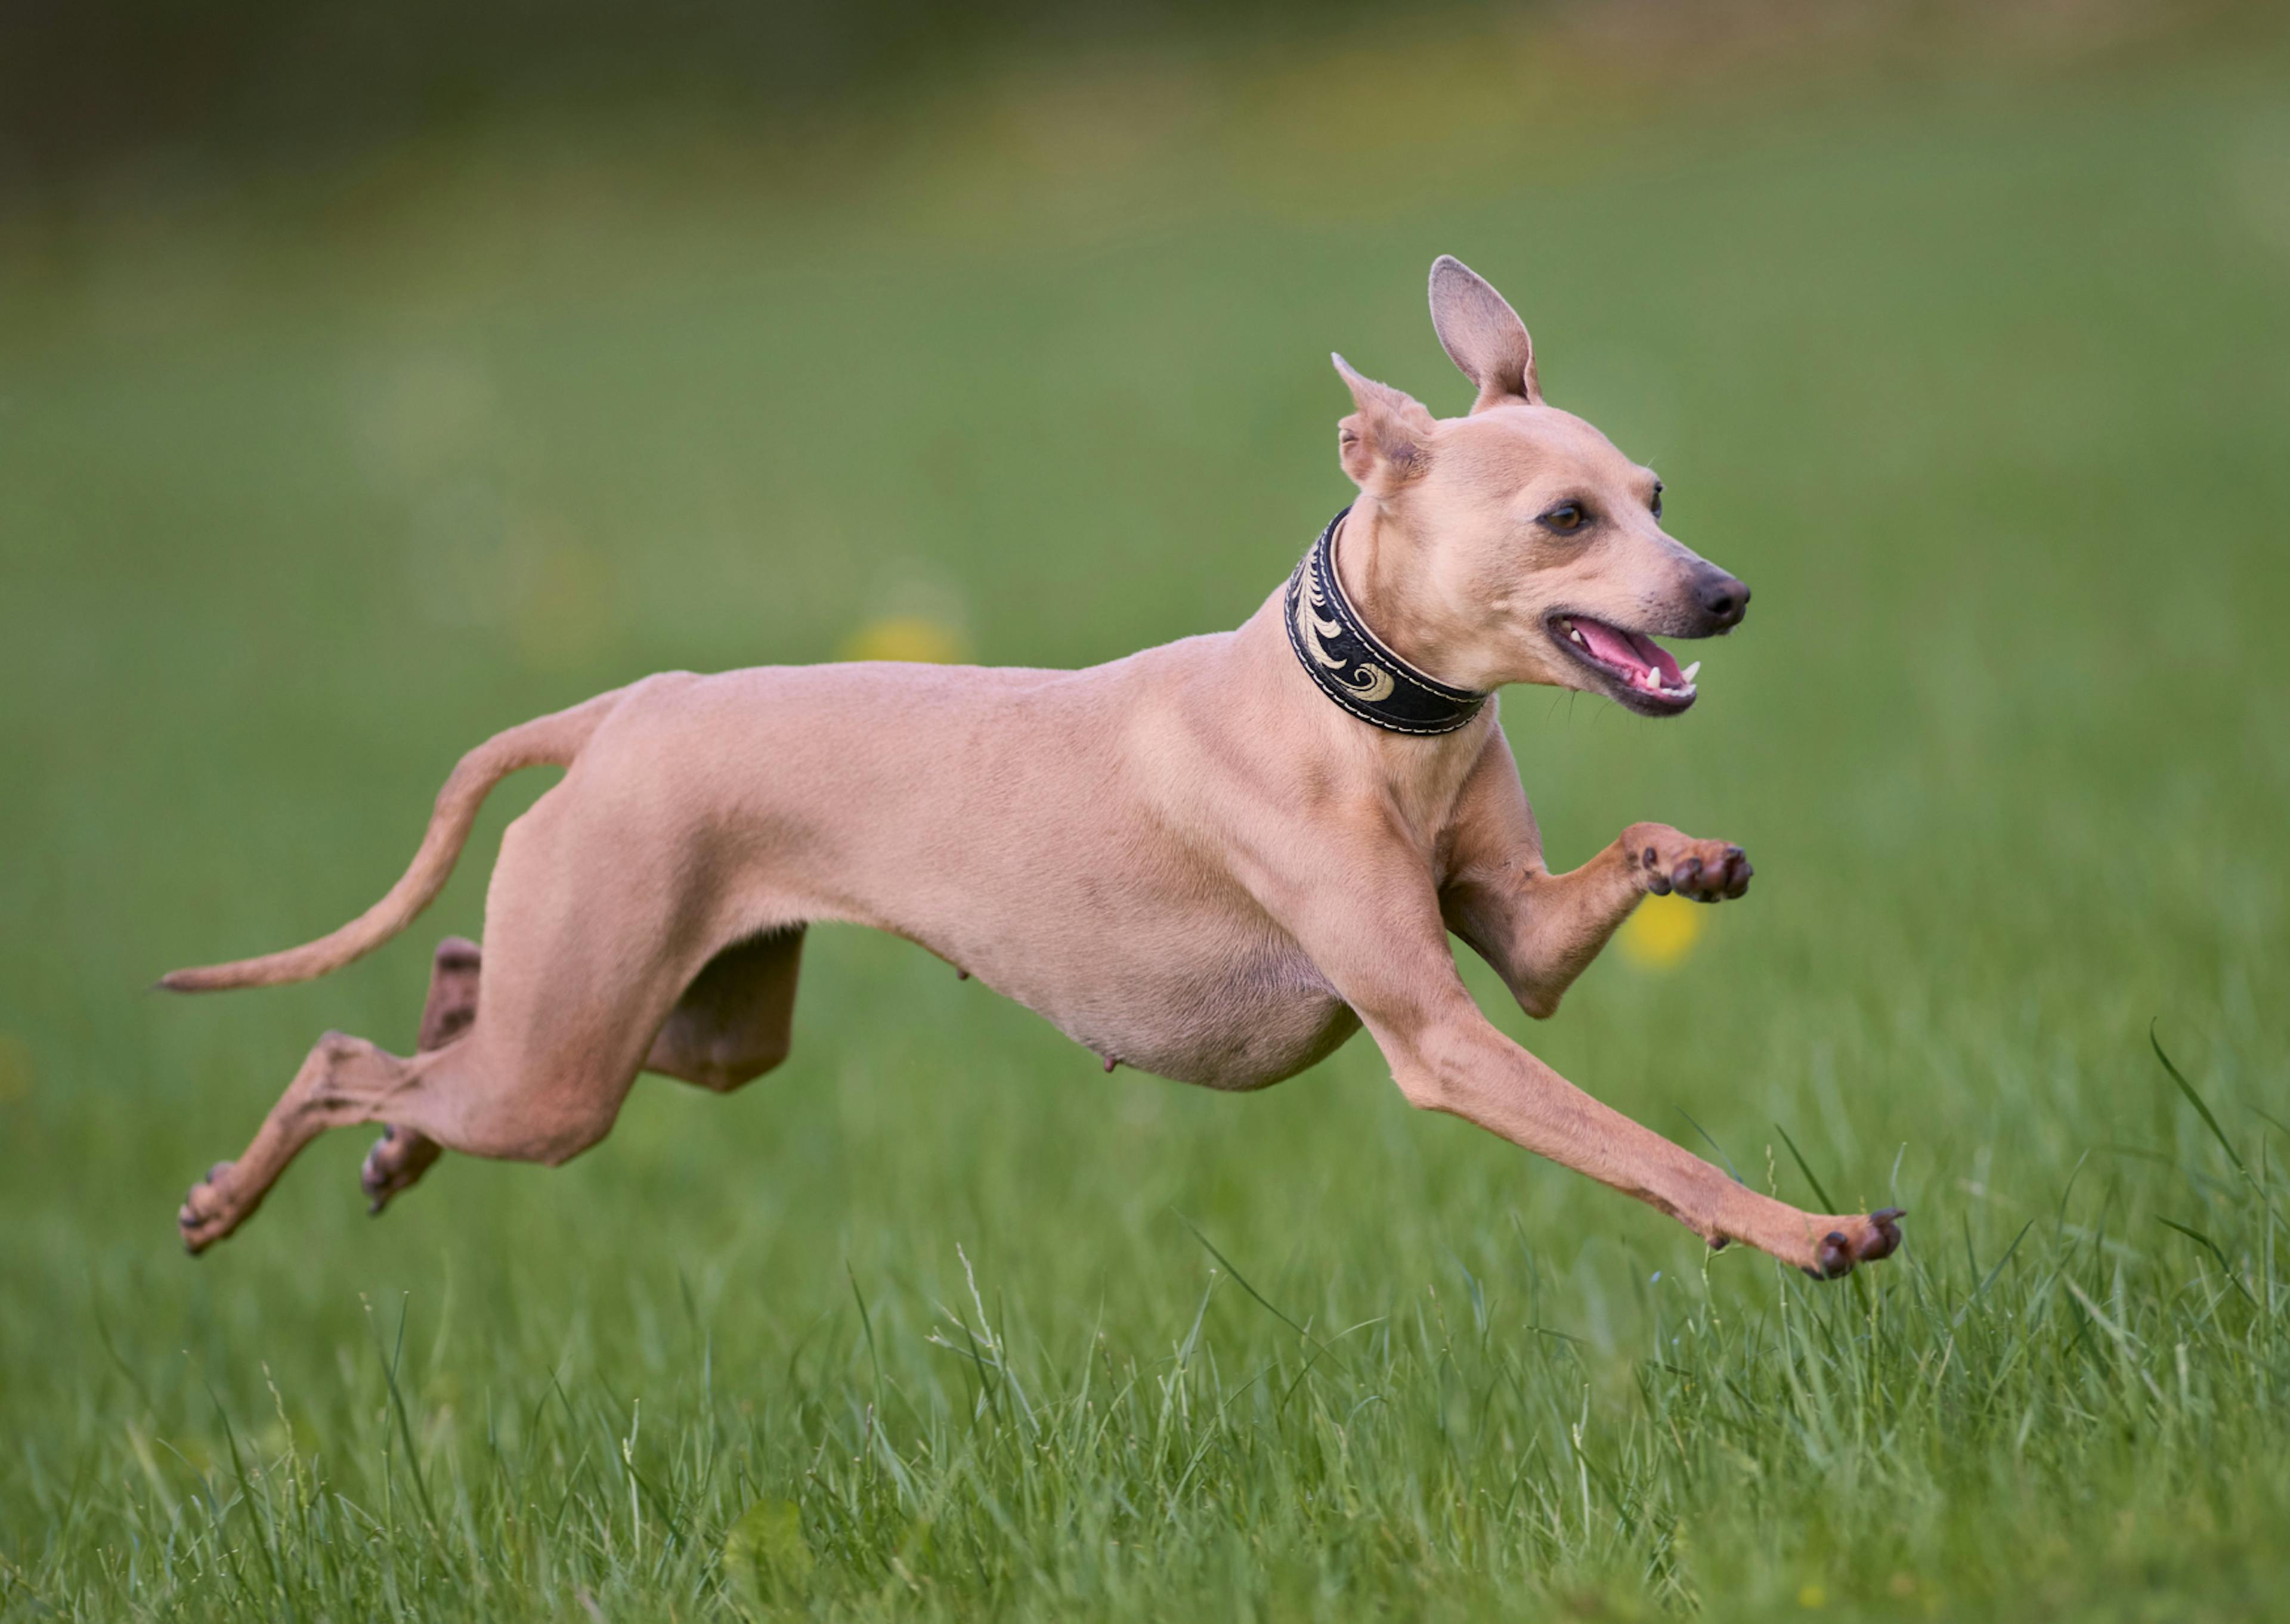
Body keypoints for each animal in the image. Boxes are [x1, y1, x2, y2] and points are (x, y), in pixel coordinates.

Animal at [169, 253, 1905, 1273]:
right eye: (1564, 518)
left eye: (1654, 492)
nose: (1723, 597)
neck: (1368, 713)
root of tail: (622, 708)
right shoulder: (1444, 1042)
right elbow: (1646, 1149)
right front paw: (1809, 1225)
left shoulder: (1522, 946)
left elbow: (1589, 897)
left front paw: (1693, 860)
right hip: (568, 1067)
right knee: (337, 1051)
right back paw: (233, 1193)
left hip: (693, 1024)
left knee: (456, 982)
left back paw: (399, 1133)